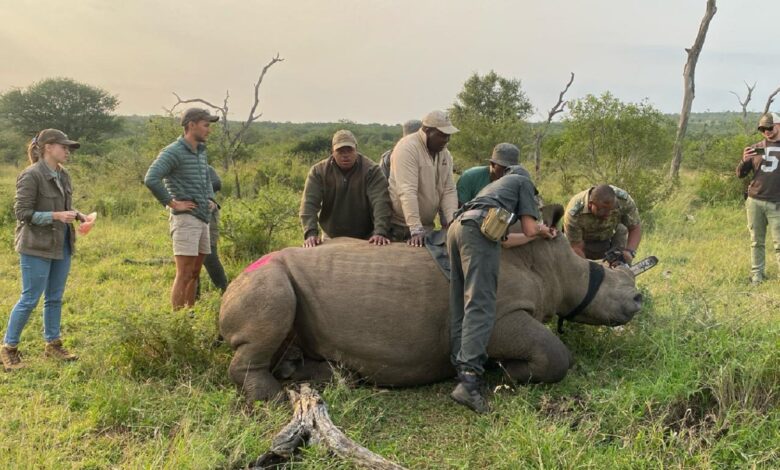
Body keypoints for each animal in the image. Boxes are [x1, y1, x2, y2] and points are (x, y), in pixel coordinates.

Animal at [219, 232, 645, 403]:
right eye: (612, 279)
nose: (640, 299)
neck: (555, 269)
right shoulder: (496, 315)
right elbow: (555, 353)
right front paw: (507, 374)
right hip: (265, 278)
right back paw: (274, 396)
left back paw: (332, 377)